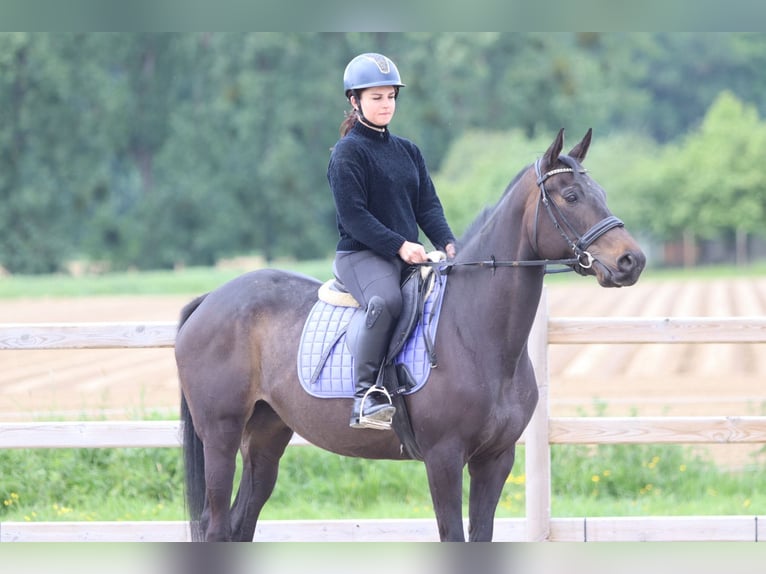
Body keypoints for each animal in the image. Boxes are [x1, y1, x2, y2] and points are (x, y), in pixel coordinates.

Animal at [175, 128, 646, 542]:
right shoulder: (443, 458)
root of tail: (211, 299)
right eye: (571, 196)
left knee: (241, 522)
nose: (632, 261)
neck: (476, 334)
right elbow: (453, 535)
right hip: (220, 434)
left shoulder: (495, 459)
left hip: (266, 435)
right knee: (216, 525)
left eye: (601, 193)